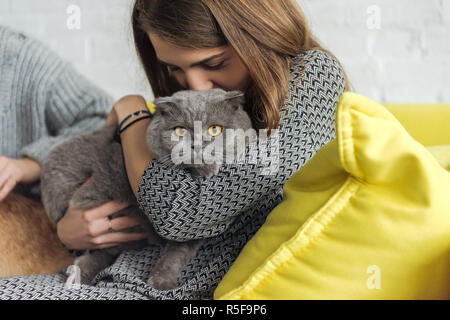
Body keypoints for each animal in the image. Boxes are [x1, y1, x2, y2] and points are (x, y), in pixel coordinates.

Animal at [40, 87, 253, 290]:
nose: (197, 145)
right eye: (180, 131)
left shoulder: (194, 227)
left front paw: (161, 280)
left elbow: (177, 252)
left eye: (215, 129)